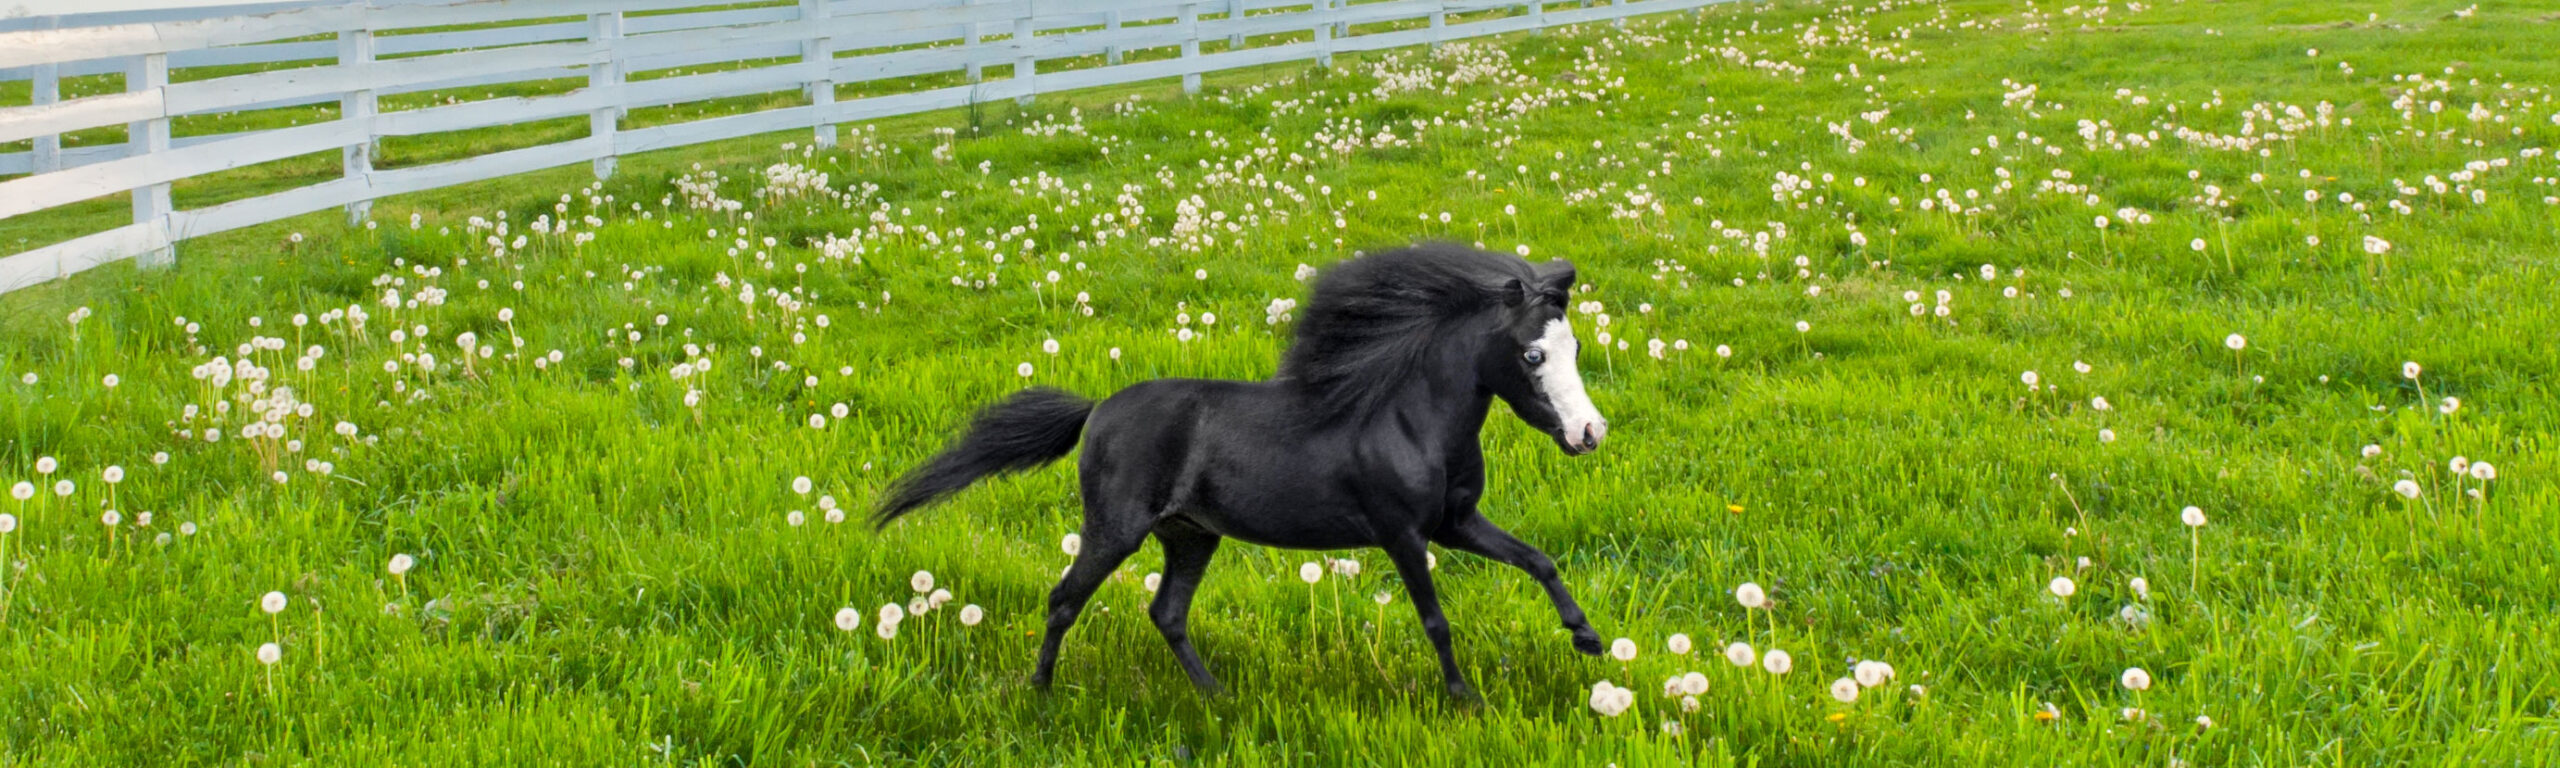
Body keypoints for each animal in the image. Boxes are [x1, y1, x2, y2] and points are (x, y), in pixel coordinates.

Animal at [870, 243, 1607, 701]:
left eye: (1573, 346)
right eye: (1533, 354)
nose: (1589, 433)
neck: (1409, 420)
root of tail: (1097, 410)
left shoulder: (1456, 522)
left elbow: (1538, 561)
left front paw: (1589, 639)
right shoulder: (1402, 534)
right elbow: (1436, 621)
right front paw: (1464, 698)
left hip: (1191, 534)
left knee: (1166, 613)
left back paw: (1216, 696)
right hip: (1115, 530)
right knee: (1063, 600)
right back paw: (1041, 693)